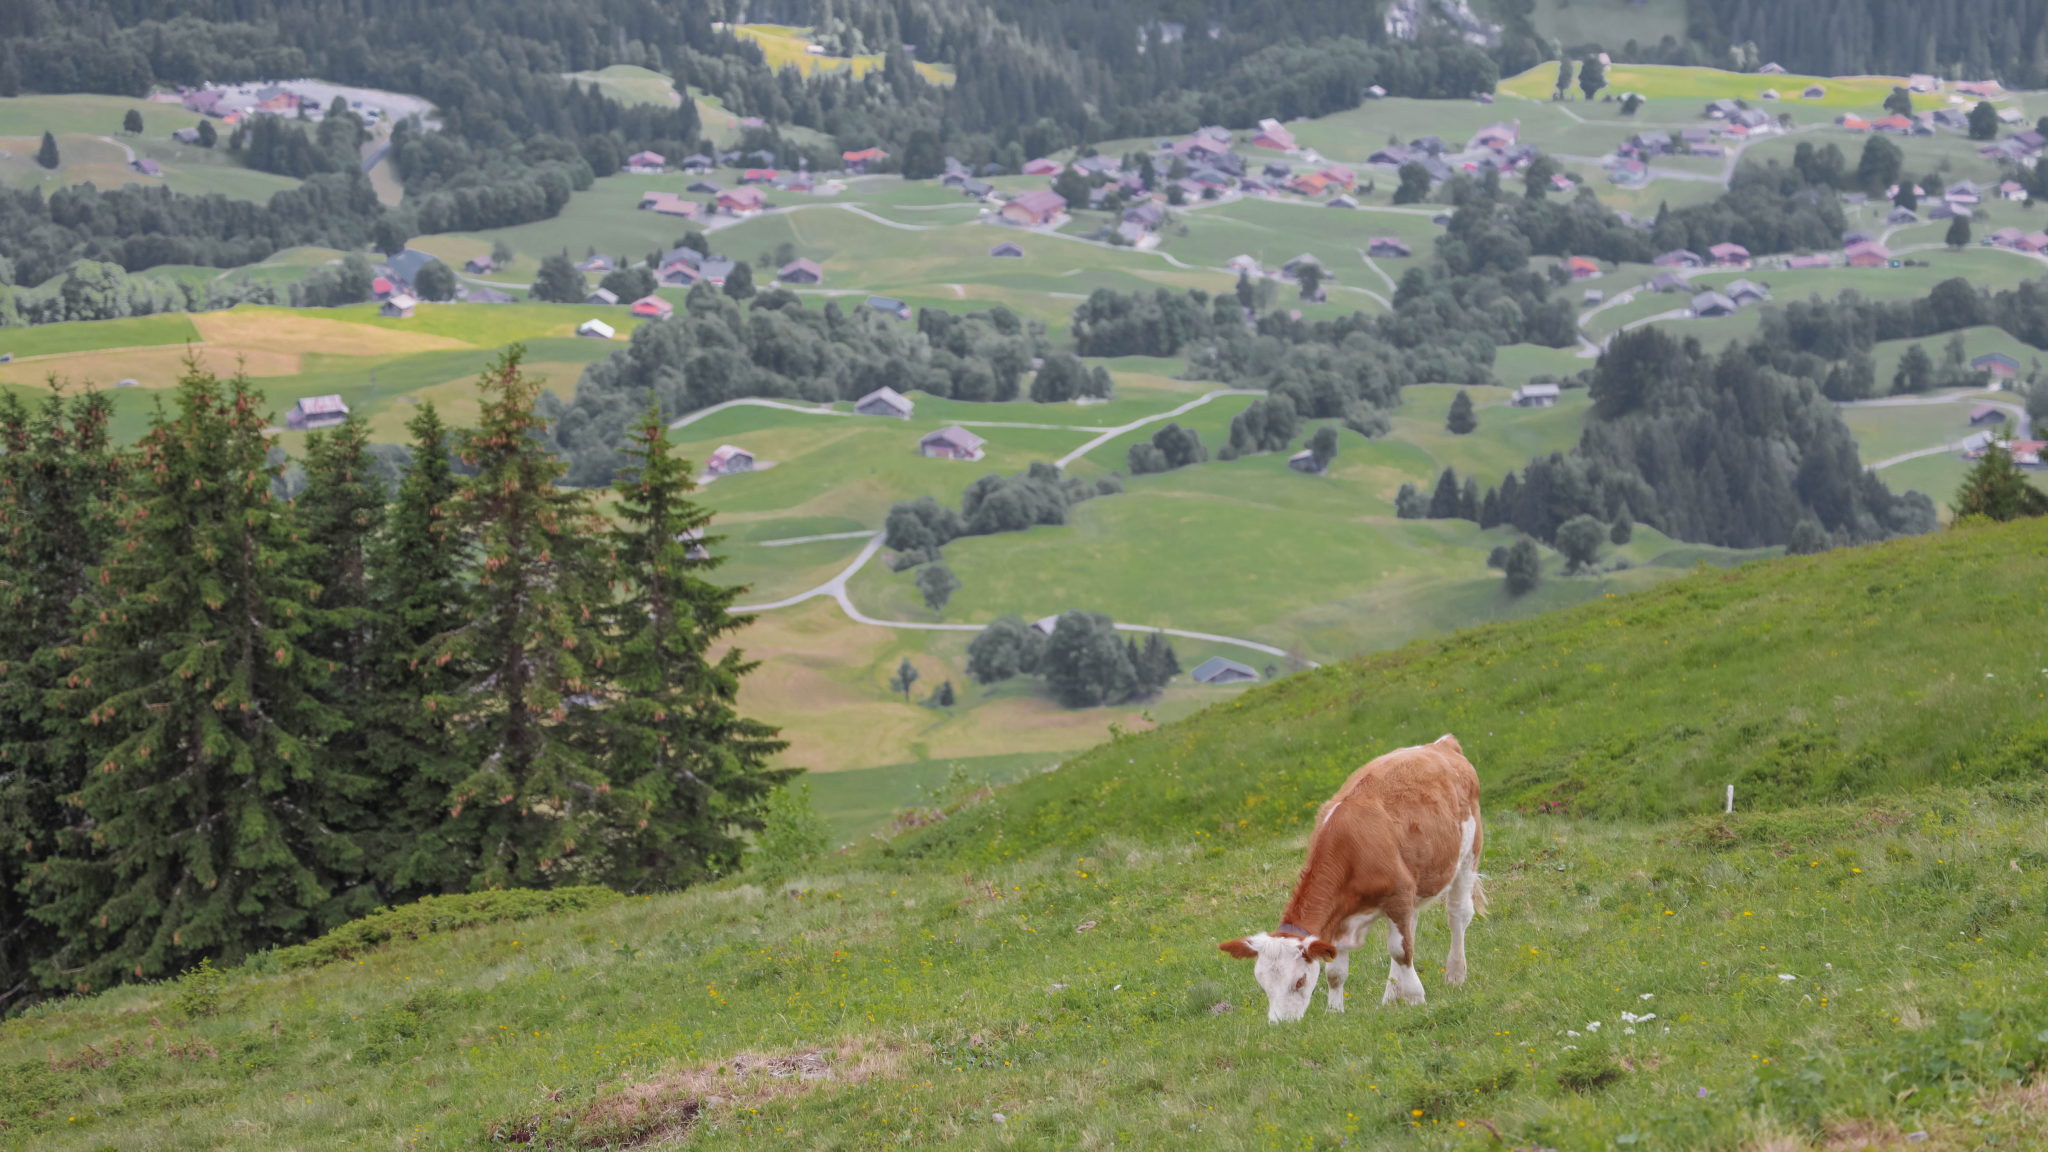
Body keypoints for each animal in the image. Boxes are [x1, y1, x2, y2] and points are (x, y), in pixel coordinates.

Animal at [1212, 729, 1490, 1016]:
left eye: (1299, 981)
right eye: (1263, 984)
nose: (1281, 1023)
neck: (1349, 848)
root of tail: (1441, 744)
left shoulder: (1398, 895)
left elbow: (1401, 951)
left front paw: (1416, 997)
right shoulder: (1343, 915)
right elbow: (1336, 970)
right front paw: (1335, 1012)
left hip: (1468, 855)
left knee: (1457, 915)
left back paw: (1455, 975)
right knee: (1410, 929)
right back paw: (1391, 996)